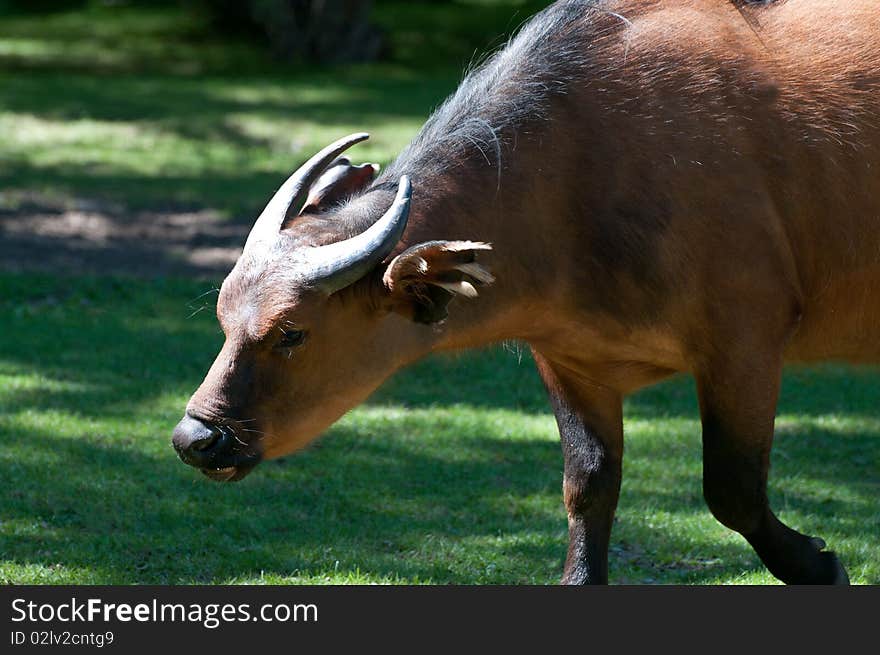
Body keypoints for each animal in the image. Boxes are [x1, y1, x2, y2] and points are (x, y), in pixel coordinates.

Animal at [174, 0, 880, 584]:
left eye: (292, 332)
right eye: (224, 320)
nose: (194, 439)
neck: (581, 179)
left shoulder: (744, 343)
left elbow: (731, 488)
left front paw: (817, 565)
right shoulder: (571, 362)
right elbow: (588, 485)